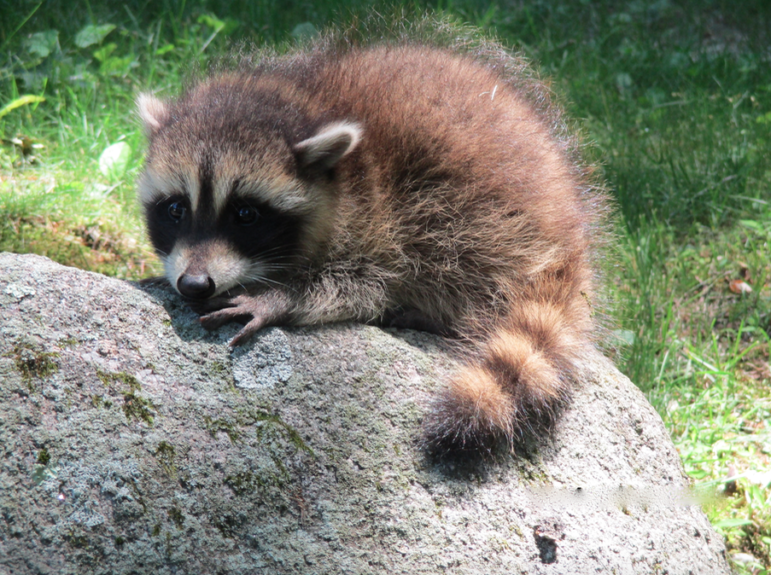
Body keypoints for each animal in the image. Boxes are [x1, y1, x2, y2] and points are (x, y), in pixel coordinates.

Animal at [137, 29, 608, 455]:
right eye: (175, 209)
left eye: (245, 215)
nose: (194, 284)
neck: (306, 99)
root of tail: (570, 228)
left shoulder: (380, 214)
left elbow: (365, 283)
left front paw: (281, 296)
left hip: (483, 208)